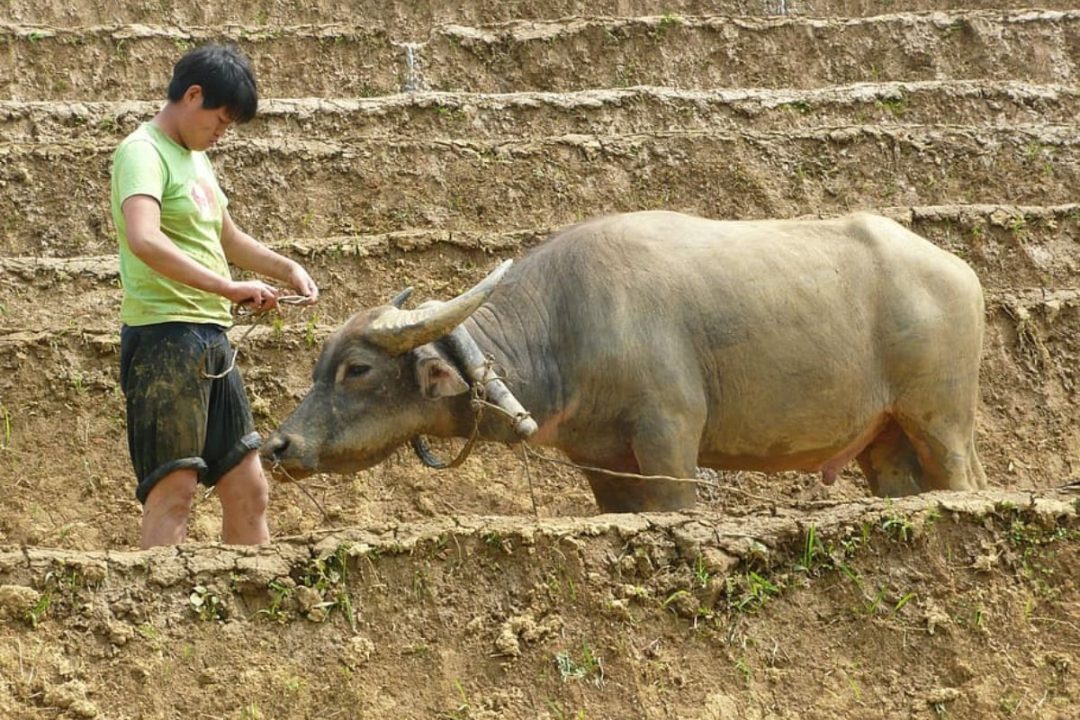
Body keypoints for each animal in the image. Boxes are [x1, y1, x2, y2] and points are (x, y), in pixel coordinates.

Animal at [263, 209, 989, 511]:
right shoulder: (601, 461)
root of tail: (961, 274)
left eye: (357, 369)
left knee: (961, 480)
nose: (278, 446)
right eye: (319, 365)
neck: (567, 323)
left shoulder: (669, 438)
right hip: (886, 440)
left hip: (941, 421)